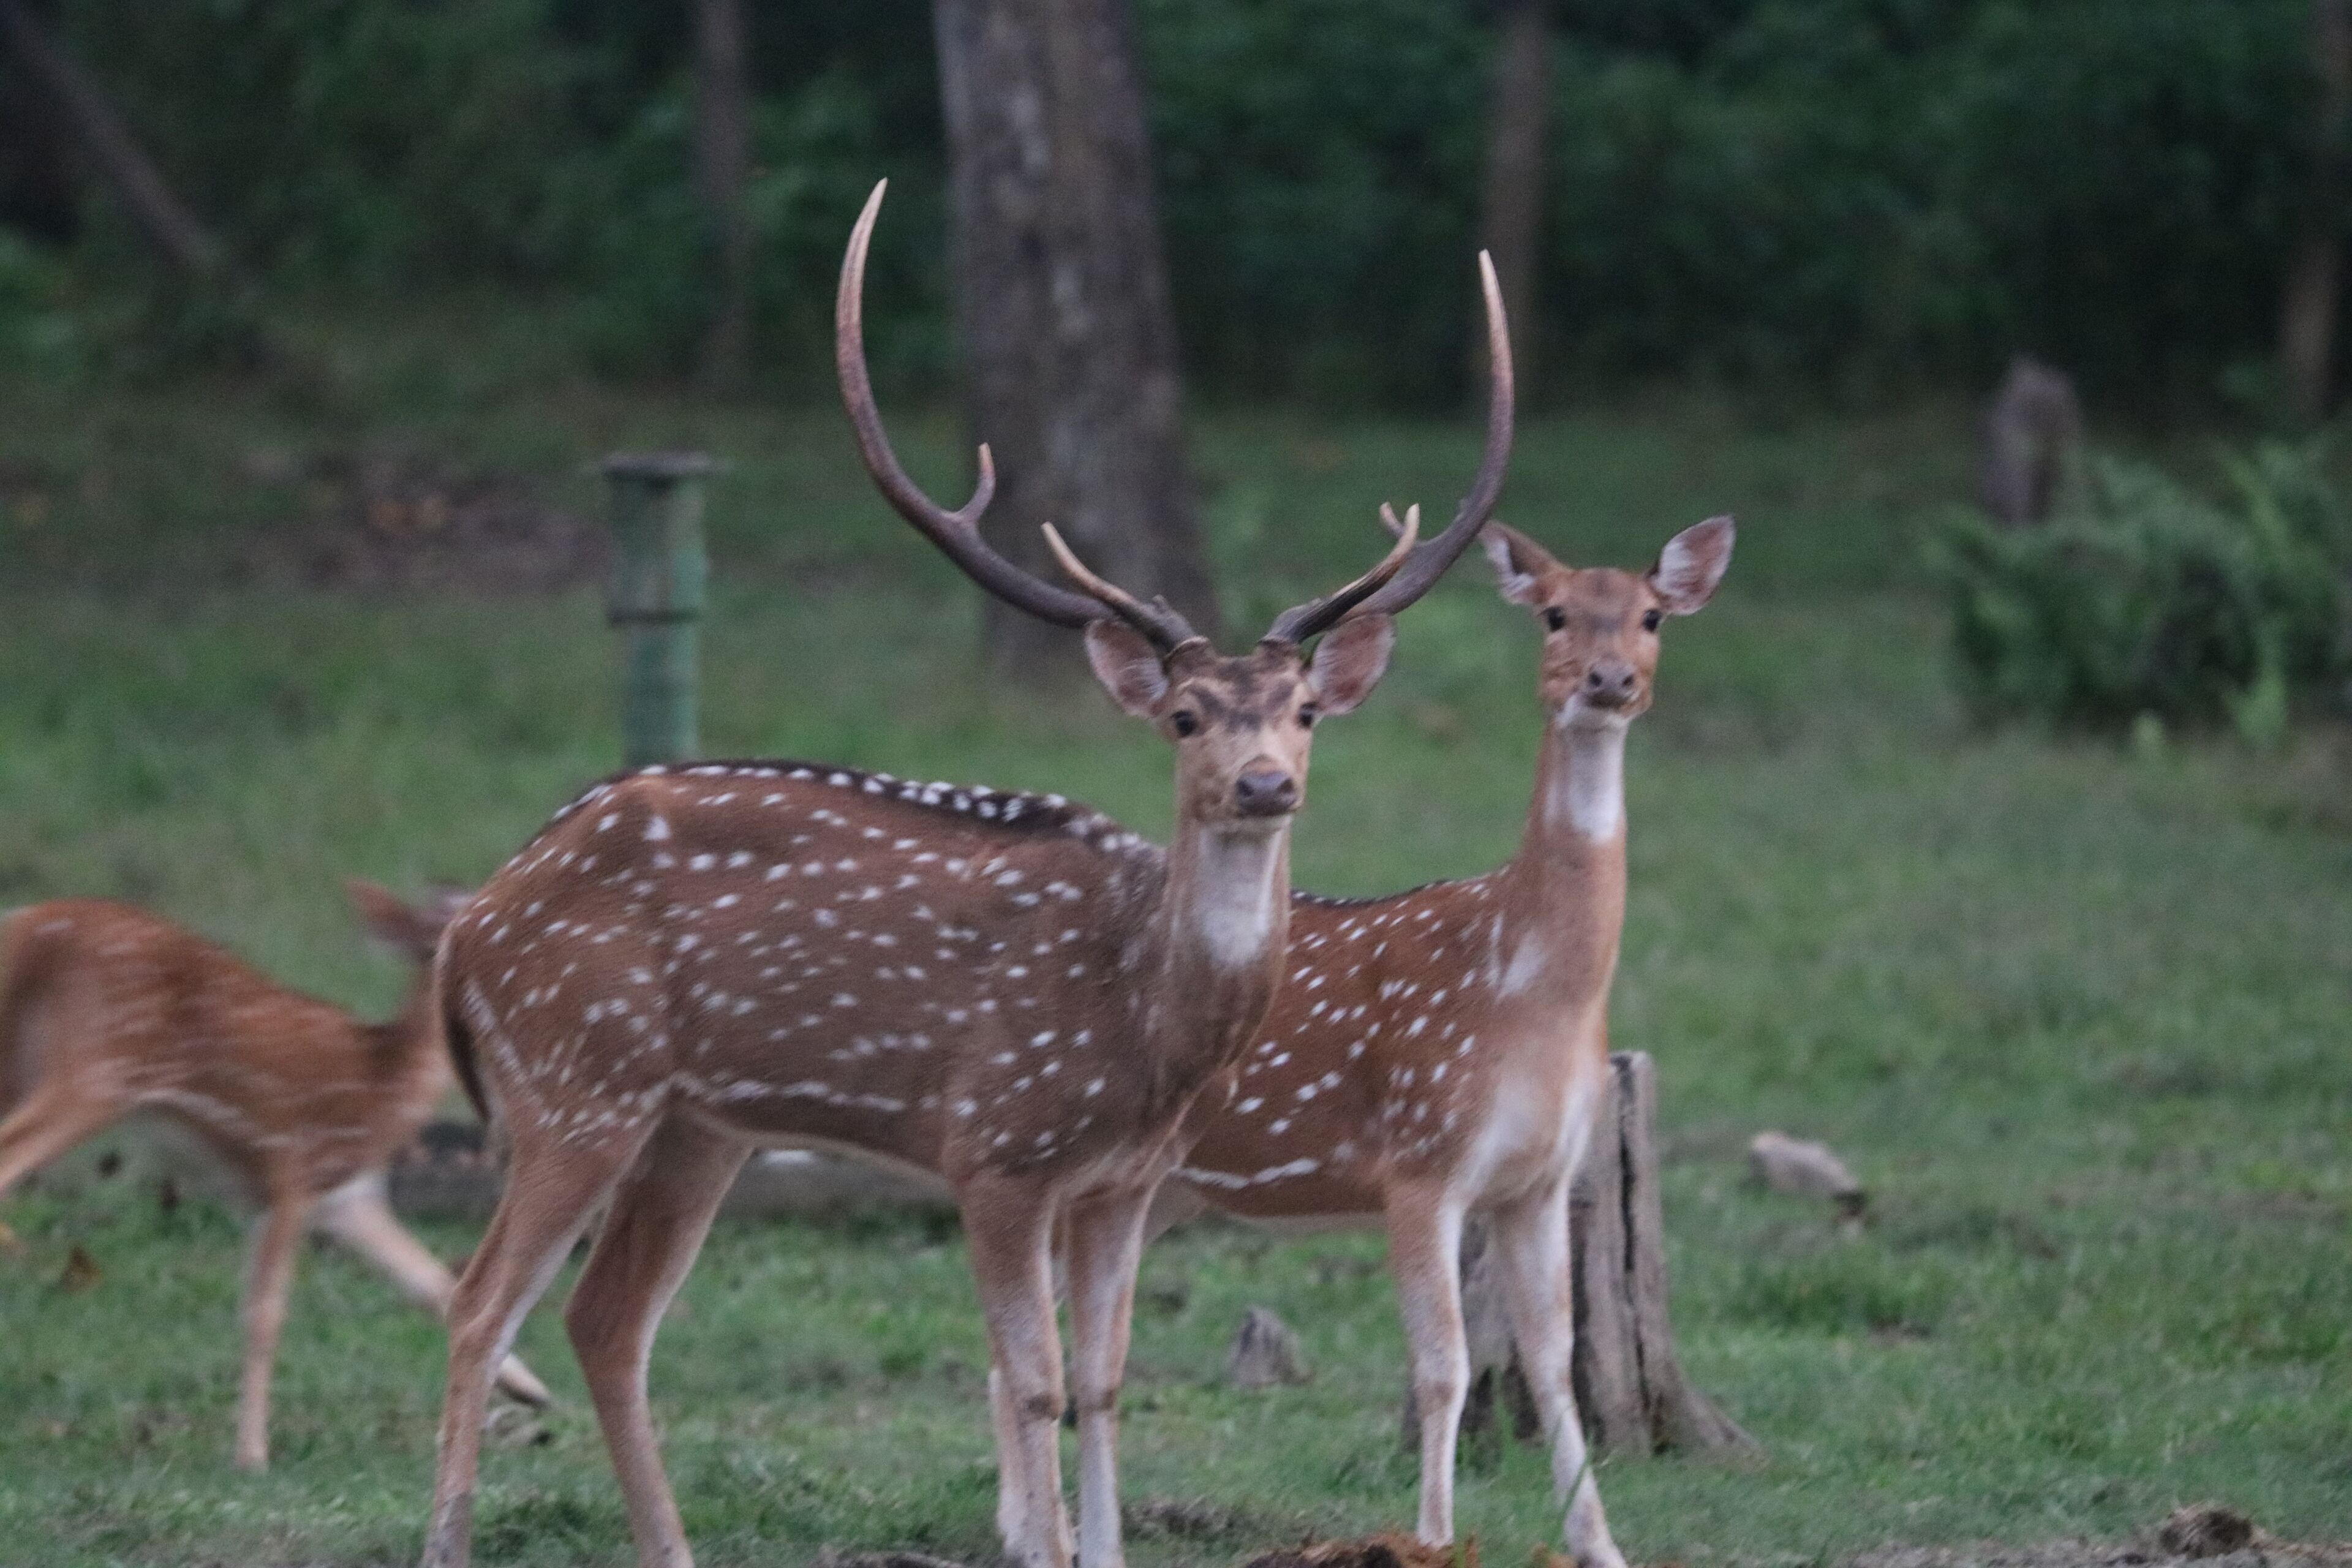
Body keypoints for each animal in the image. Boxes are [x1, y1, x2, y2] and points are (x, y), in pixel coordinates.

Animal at [0, 884, 551, 1472]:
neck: (382, 1091)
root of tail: (28, 923)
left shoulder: (348, 1197)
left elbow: (432, 1282)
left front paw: (532, 1390)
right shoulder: (292, 1169)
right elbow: (264, 1316)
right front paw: (252, 1456)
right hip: (94, 1069)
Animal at [411, 177, 1512, 1568]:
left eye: (1305, 709)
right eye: (1187, 716)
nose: (1267, 782)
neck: (1145, 1031)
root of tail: (468, 924)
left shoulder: (1122, 1182)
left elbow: (1105, 1378)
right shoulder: (996, 1148)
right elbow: (1030, 1382)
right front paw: (1041, 1543)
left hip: (693, 1124)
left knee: (605, 1318)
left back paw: (668, 1545)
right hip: (572, 1078)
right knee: (477, 1301)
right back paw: (450, 1537)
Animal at [1154, 511, 1735, 1568]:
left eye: (1652, 617)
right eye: (1554, 614)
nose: (1608, 682)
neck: (1526, 988)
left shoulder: (1544, 1177)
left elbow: (1553, 1360)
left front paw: (1601, 1545)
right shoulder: (1419, 1163)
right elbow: (1444, 1366)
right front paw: (1429, 1537)